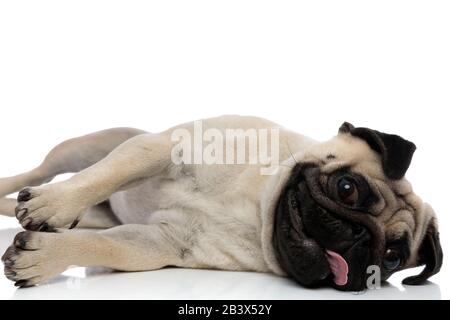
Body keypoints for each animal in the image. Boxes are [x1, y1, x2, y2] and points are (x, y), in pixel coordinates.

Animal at [0, 116, 442, 292]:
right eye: (347, 188)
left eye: (391, 258)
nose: (358, 240)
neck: (259, 207)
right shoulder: (159, 150)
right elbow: (102, 177)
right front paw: (53, 205)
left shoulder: (159, 243)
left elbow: (103, 245)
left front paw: (43, 257)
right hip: (79, 150)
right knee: (42, 173)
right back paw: (19, 190)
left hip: (97, 215)